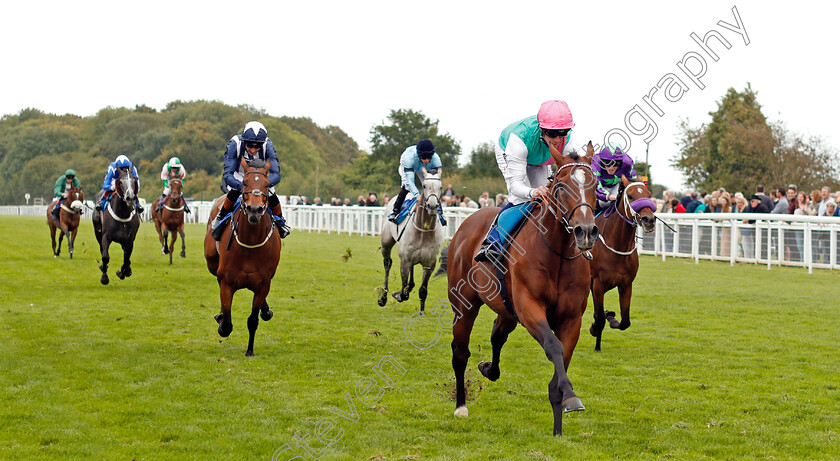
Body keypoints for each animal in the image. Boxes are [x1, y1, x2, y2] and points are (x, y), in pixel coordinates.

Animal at [203, 158, 282, 356]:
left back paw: (266, 310)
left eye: (267, 184)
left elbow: (253, 320)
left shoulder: (263, 284)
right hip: (212, 263)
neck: (250, 245)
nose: (255, 209)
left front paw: (250, 351)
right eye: (245, 183)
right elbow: (227, 324)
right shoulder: (227, 282)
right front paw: (221, 320)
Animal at [380, 167, 446, 310]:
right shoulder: (404, 260)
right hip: (386, 243)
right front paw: (397, 294)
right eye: (424, 186)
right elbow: (404, 291)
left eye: (441, 187)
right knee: (387, 264)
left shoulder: (429, 263)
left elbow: (422, 291)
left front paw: (421, 312)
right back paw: (383, 296)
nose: (432, 206)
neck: (423, 230)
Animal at [450, 146, 600, 434]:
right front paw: (571, 396)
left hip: (507, 309)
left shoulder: (571, 318)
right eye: (561, 186)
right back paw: (460, 407)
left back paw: (489, 369)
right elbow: (553, 346)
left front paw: (559, 424)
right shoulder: (530, 307)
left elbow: (562, 359)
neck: (556, 253)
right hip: (463, 304)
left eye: (596, 184)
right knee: (460, 352)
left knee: (497, 335)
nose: (585, 231)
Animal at [584, 175, 656, 348]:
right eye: (630, 196)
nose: (649, 220)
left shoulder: (626, 284)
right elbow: (599, 318)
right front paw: (596, 335)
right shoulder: (598, 285)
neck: (618, 245)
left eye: (648, 194)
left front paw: (610, 316)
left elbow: (625, 322)